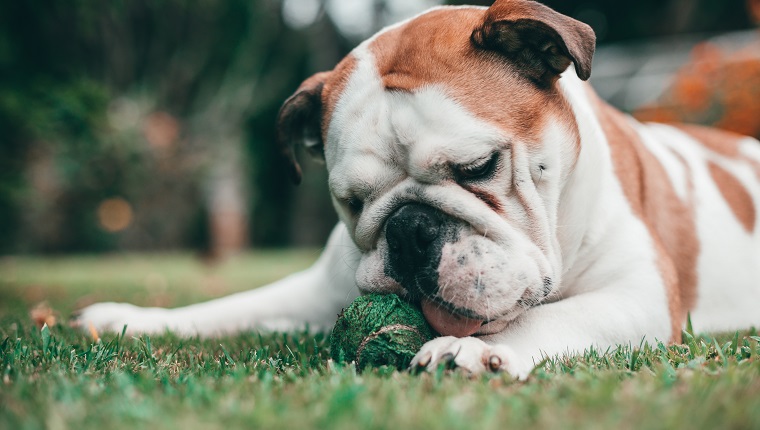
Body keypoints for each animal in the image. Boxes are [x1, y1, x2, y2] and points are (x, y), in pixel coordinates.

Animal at [72, 0, 760, 376]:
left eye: (479, 167)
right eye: (351, 203)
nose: (408, 230)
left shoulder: (639, 292)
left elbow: (551, 317)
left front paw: (476, 353)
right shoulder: (311, 290)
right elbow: (226, 308)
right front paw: (131, 318)